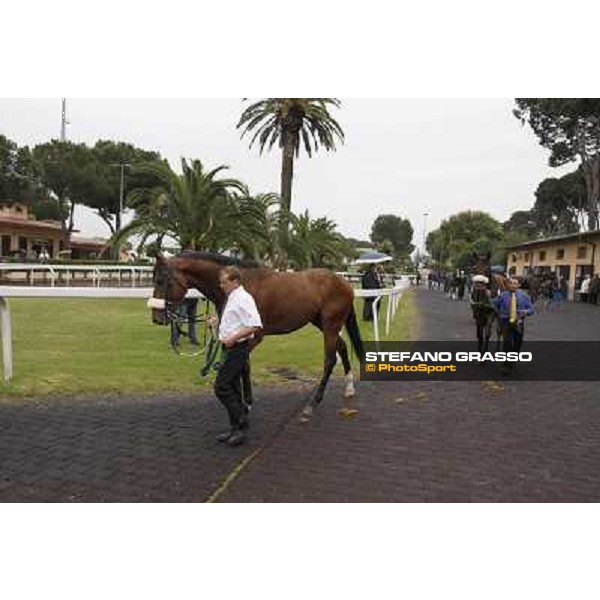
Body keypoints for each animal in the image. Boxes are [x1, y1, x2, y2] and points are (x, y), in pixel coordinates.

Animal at [150, 251, 366, 420]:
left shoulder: (253, 336)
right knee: (342, 346)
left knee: (330, 360)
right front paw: (242, 402)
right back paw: (349, 389)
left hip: (331, 325)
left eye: (161, 281)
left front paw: (246, 404)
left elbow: (243, 366)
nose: (156, 317)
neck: (242, 285)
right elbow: (239, 366)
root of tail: (344, 282)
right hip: (322, 323)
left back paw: (313, 403)